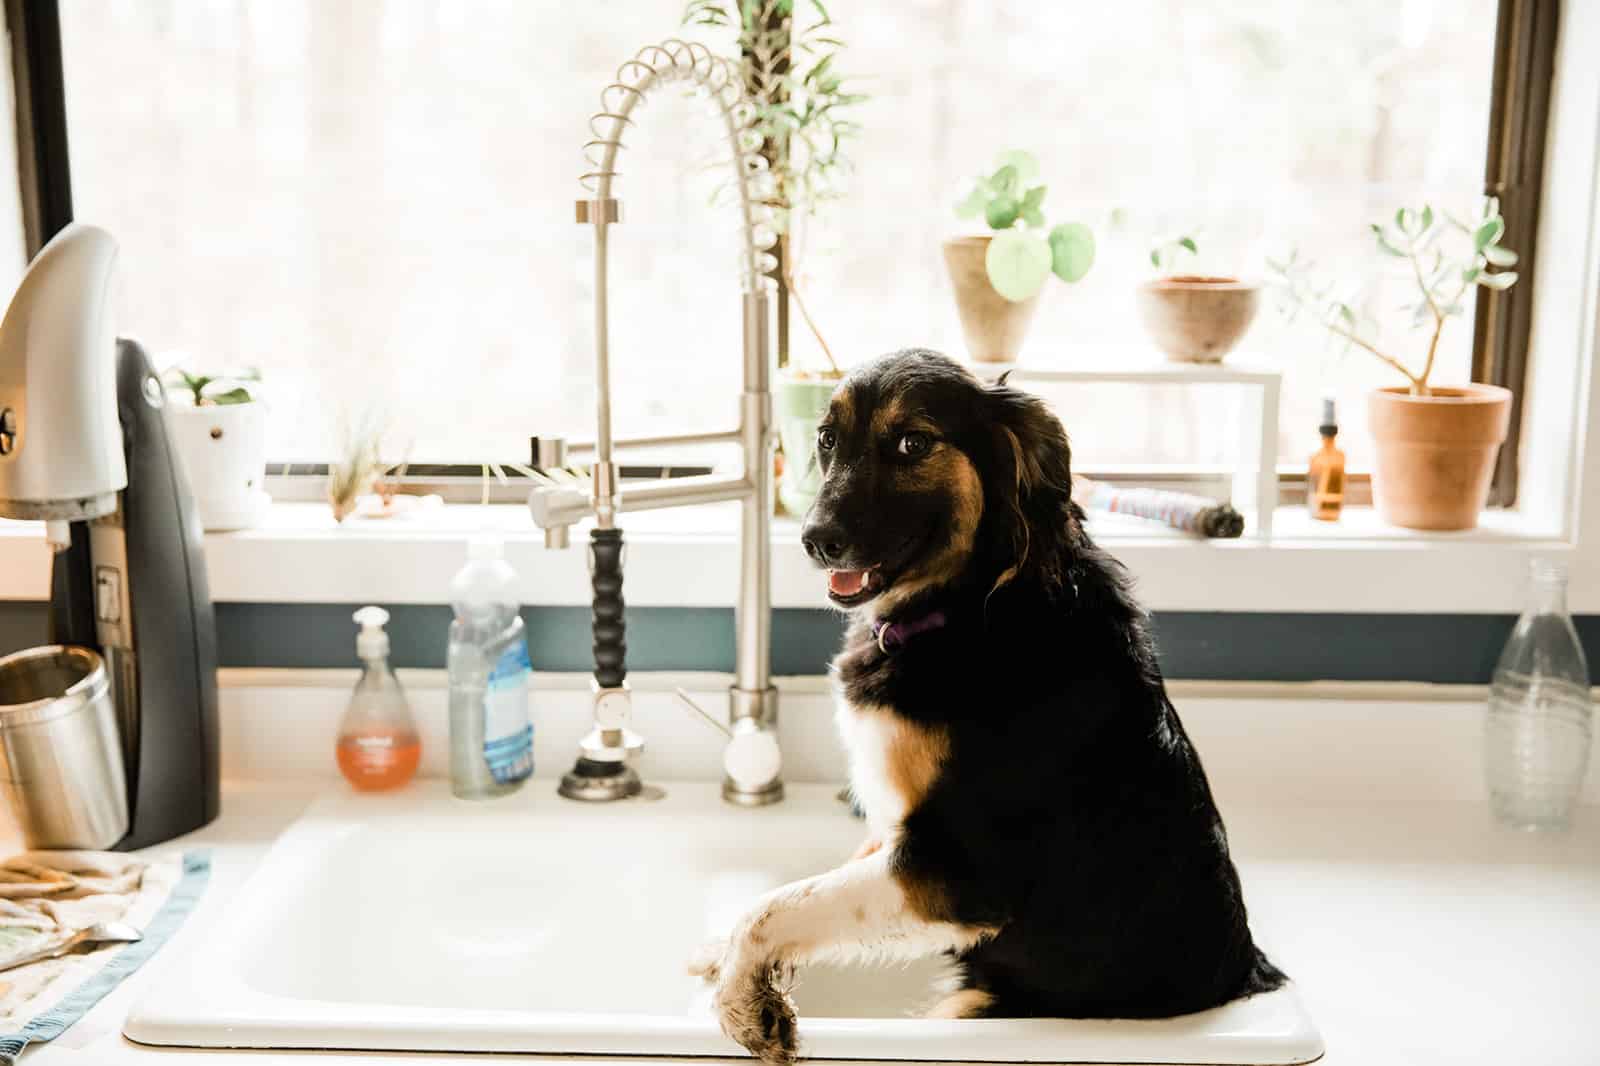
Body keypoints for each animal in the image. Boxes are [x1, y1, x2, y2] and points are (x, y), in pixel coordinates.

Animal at [691, 347, 1286, 1056]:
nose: (814, 538)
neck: (972, 609)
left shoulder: (958, 869)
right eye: (827, 438)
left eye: (913, 443)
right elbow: (808, 889)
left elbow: (778, 905)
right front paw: (721, 958)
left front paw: (741, 993)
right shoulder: (897, 840)